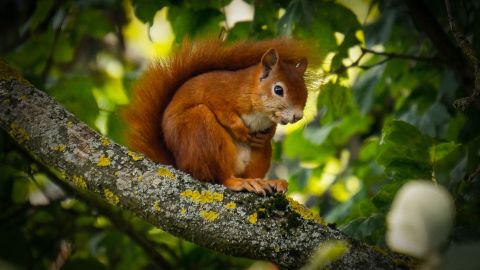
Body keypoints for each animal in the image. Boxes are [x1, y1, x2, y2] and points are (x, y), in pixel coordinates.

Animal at [124, 38, 312, 194]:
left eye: (305, 91)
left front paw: (267, 135)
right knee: (220, 177)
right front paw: (241, 130)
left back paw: (266, 181)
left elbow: (270, 128)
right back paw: (240, 182)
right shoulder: (216, 93)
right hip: (201, 131)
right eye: (278, 89)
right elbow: (225, 114)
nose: (297, 116)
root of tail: (179, 164)